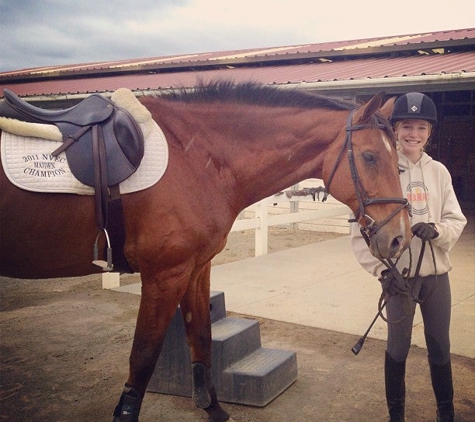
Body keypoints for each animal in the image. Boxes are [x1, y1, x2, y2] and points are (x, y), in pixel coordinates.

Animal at [0, 81, 412, 420]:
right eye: (370, 157)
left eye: (399, 160)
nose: (399, 239)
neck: (196, 158)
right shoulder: (165, 276)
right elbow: (142, 358)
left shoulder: (196, 268)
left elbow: (200, 338)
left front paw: (211, 407)